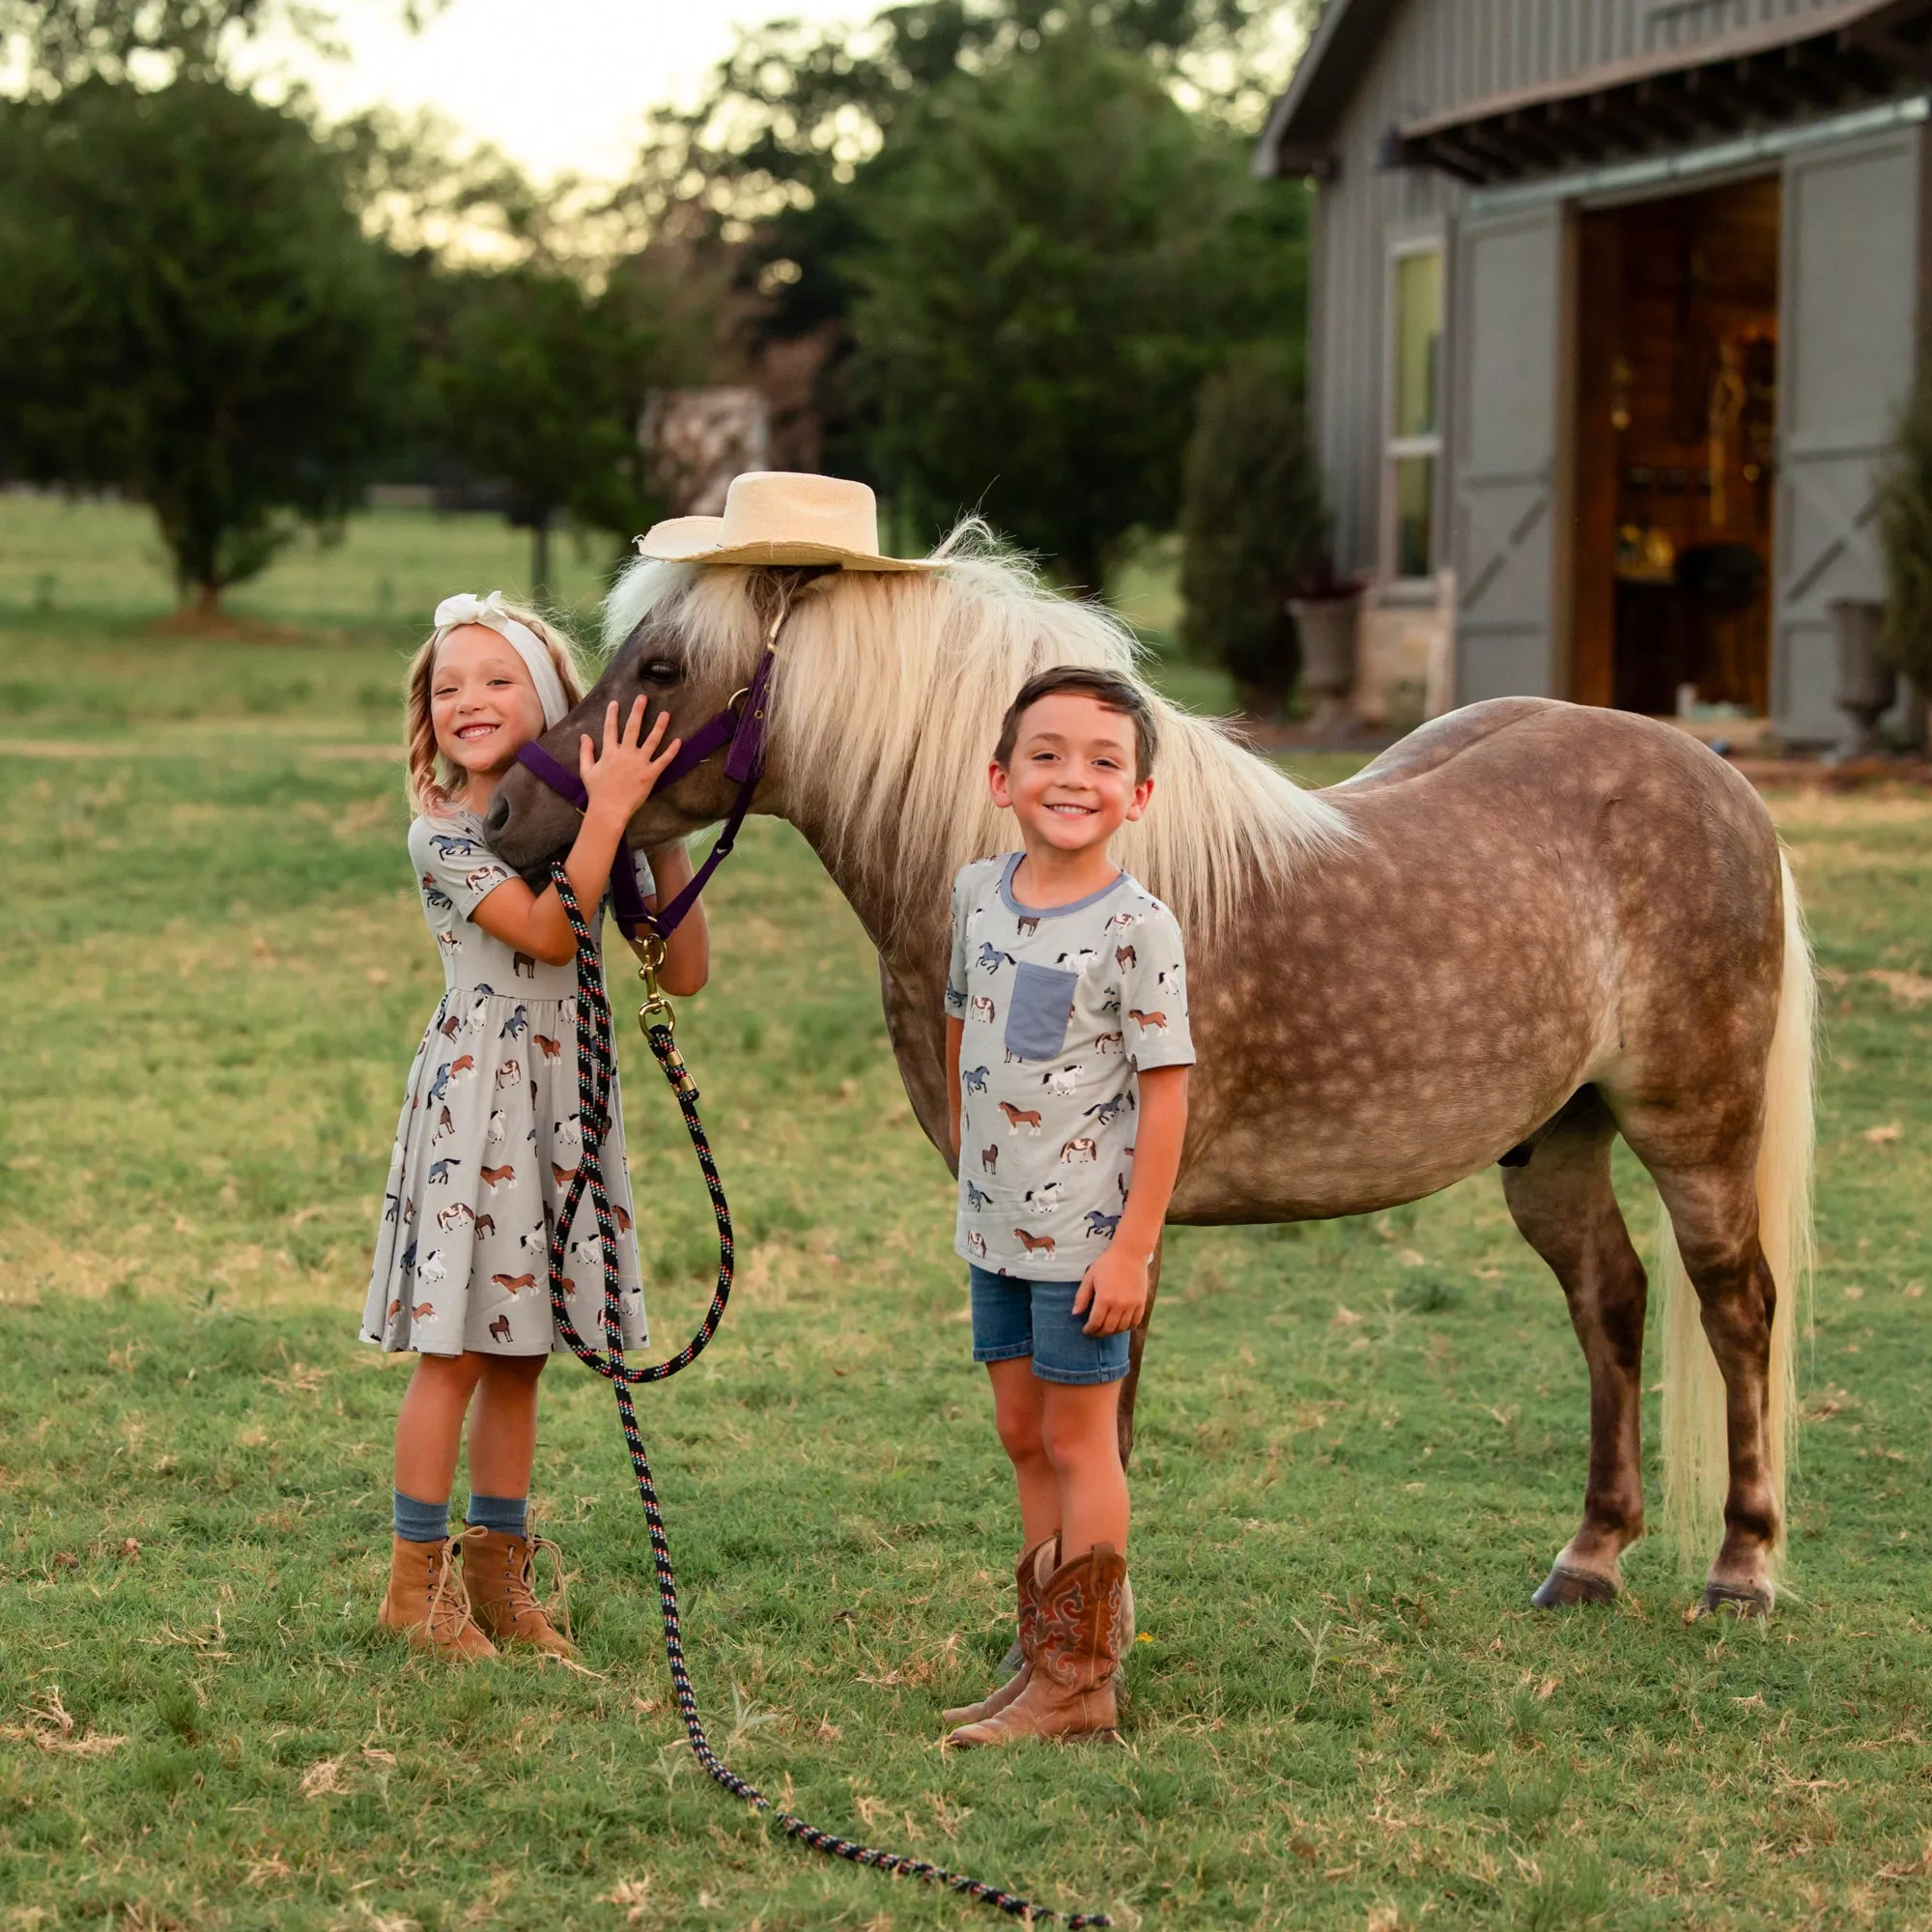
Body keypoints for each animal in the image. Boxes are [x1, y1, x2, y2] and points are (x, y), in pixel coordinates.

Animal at [483, 537, 1808, 1623]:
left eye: (660, 667)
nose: (504, 813)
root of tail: (1717, 779)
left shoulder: (1117, 1232)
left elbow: (1100, 1429)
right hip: (1553, 1140)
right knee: (1611, 1301)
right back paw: (1587, 1557)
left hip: (1693, 1126)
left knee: (1733, 1305)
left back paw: (1738, 1570)